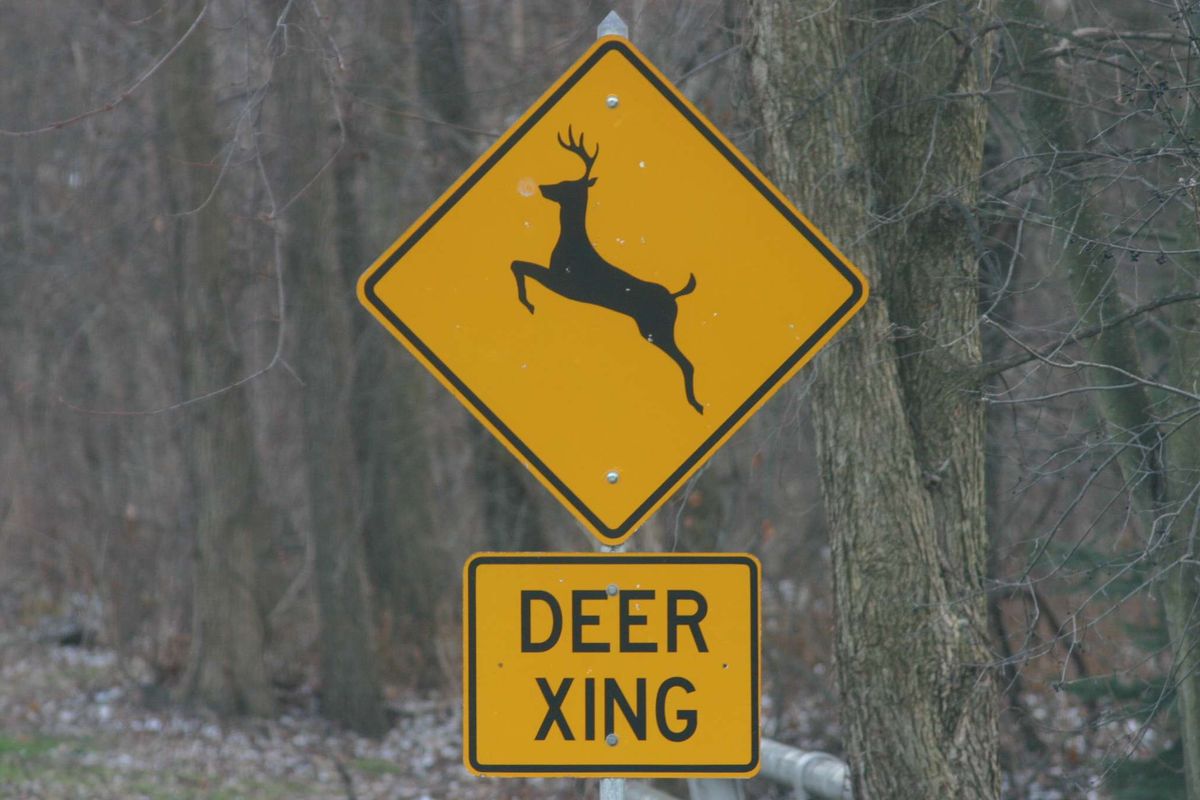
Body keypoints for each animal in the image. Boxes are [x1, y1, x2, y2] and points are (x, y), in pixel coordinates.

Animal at [511, 127, 703, 415]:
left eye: (567, 184)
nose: (542, 187)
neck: (571, 242)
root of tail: (675, 296)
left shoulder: (564, 281)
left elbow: (518, 264)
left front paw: (528, 304)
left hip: (657, 328)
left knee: (687, 362)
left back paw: (696, 405)